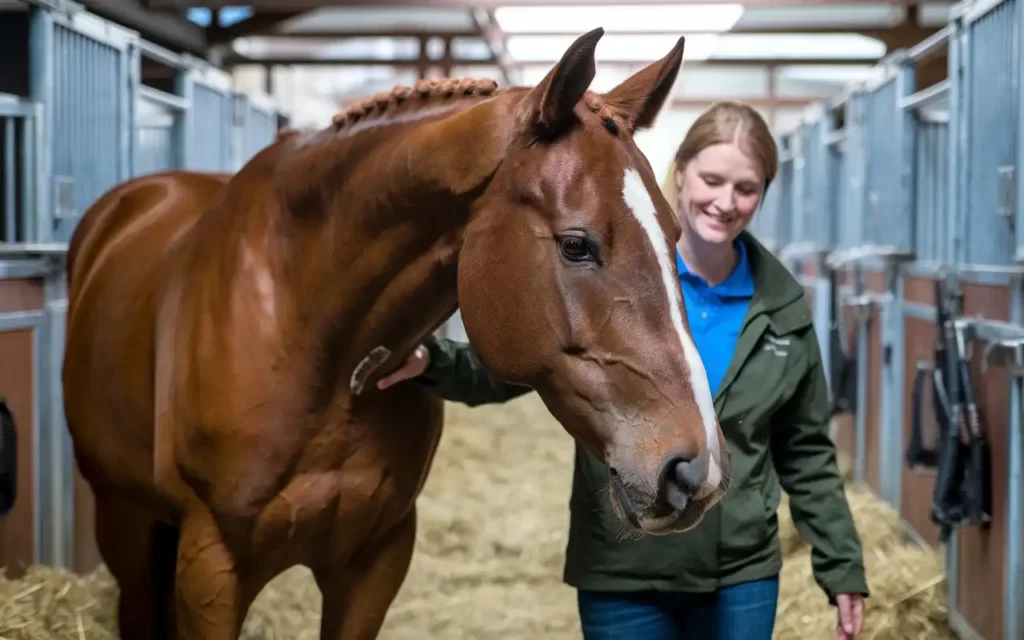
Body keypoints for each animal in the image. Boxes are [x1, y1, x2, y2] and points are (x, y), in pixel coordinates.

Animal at [61, 29, 729, 638]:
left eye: (675, 235)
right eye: (576, 244)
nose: (697, 469)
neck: (313, 344)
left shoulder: (375, 561)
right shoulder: (211, 569)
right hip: (120, 517)